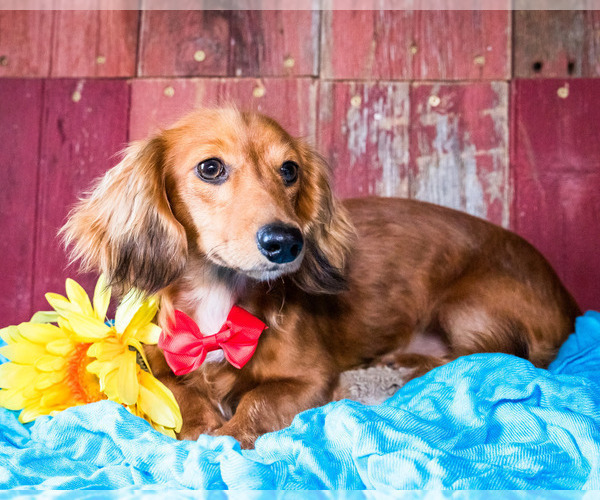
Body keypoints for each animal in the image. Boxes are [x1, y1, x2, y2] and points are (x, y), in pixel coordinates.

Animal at [62, 107, 580, 448]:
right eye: (210, 168)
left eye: (289, 169)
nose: (286, 242)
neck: (221, 306)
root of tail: (568, 299)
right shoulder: (148, 366)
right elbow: (179, 391)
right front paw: (201, 425)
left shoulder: (310, 378)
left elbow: (259, 400)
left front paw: (229, 434)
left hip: (466, 305)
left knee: (492, 354)